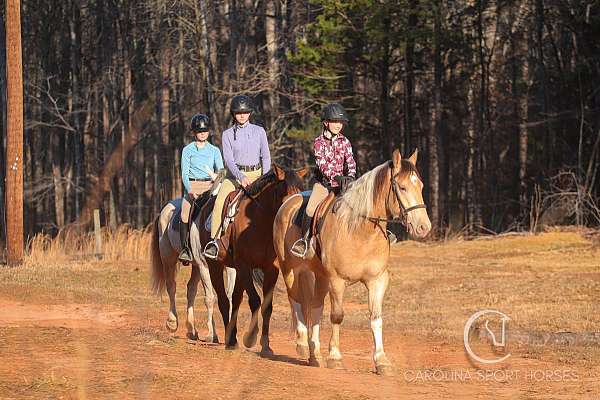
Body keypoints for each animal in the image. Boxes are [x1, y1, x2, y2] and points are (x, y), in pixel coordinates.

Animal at [199, 164, 308, 354]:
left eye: (301, 191)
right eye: (284, 192)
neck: (260, 222)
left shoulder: (271, 269)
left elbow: (267, 306)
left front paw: (265, 345)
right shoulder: (245, 266)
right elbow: (255, 301)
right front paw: (250, 337)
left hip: (235, 270)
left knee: (235, 299)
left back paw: (233, 337)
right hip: (215, 266)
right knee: (224, 300)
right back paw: (229, 339)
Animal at [272, 149, 432, 376]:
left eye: (421, 186)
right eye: (402, 187)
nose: (423, 227)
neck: (361, 231)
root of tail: (288, 202)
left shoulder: (377, 280)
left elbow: (376, 318)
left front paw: (381, 361)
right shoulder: (337, 281)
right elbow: (337, 316)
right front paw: (335, 357)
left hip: (320, 276)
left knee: (316, 306)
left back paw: (315, 353)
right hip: (290, 271)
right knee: (295, 300)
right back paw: (303, 345)